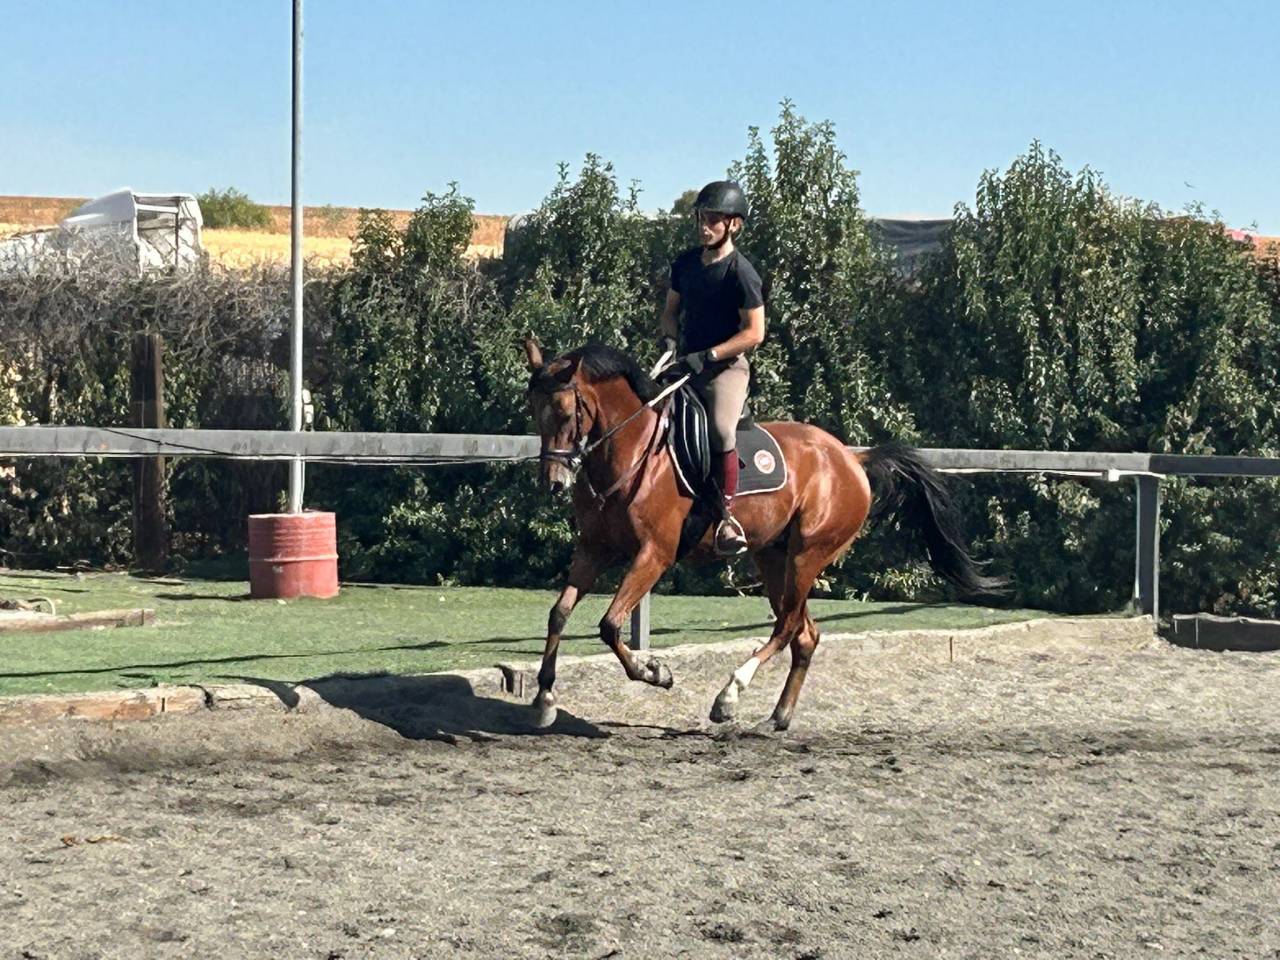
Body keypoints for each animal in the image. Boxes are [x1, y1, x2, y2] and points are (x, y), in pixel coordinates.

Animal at [523, 338, 1005, 731]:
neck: (632, 452)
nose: (553, 482)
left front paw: (655, 673)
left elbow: (609, 624)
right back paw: (779, 716)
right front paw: (545, 697)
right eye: (534, 412)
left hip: (808, 554)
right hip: (773, 557)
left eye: (565, 412)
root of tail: (850, 457)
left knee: (788, 626)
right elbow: (558, 614)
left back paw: (729, 696)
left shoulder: (653, 555)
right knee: (805, 634)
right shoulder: (594, 548)